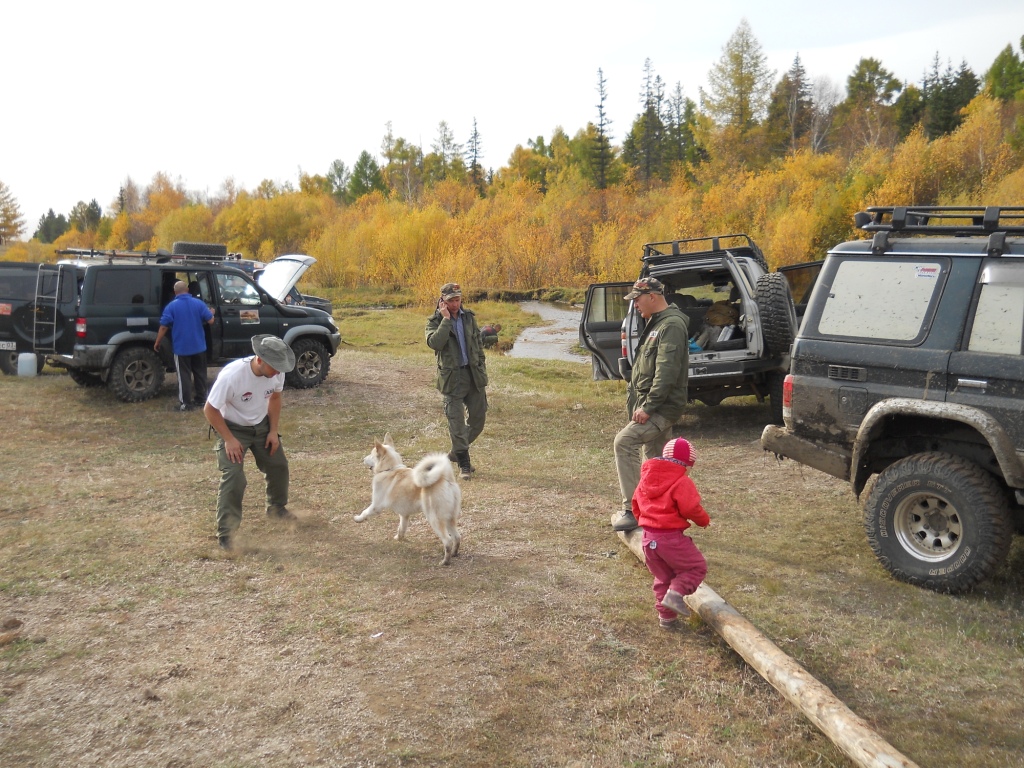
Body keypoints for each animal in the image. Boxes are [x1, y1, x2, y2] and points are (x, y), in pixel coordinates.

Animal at [353, 433, 462, 565]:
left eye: (371, 454)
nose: (362, 459)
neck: (390, 469)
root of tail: (445, 479)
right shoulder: (404, 514)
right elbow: (402, 528)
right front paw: (398, 538)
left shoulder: (376, 506)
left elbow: (365, 512)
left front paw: (358, 519)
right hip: (450, 518)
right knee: (457, 537)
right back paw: (454, 554)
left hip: (435, 518)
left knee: (448, 541)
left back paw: (445, 561)